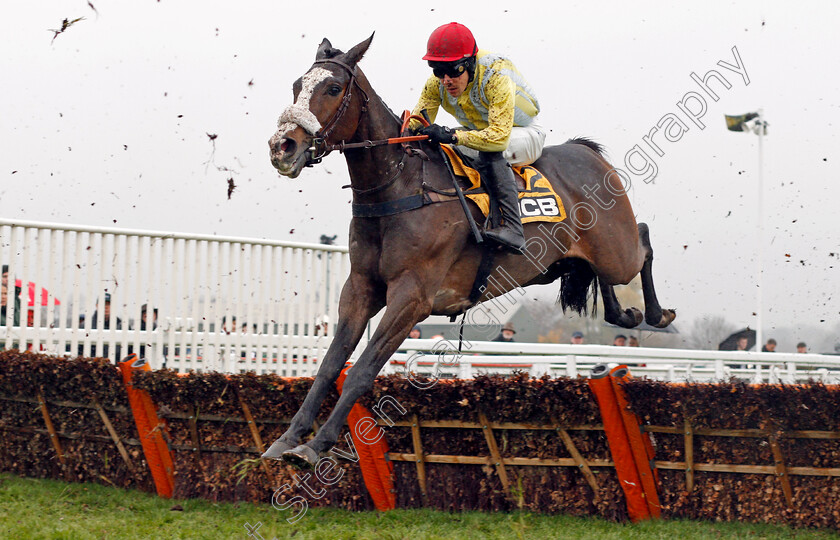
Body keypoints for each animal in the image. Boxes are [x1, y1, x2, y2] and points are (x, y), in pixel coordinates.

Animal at [266, 33, 672, 466]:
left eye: (332, 88)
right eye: (297, 85)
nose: (282, 146)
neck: (400, 188)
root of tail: (588, 152)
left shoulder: (412, 297)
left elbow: (361, 371)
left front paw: (316, 446)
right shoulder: (360, 287)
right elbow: (328, 365)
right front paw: (288, 439)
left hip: (617, 250)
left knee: (643, 240)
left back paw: (657, 313)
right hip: (565, 262)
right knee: (601, 274)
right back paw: (626, 314)